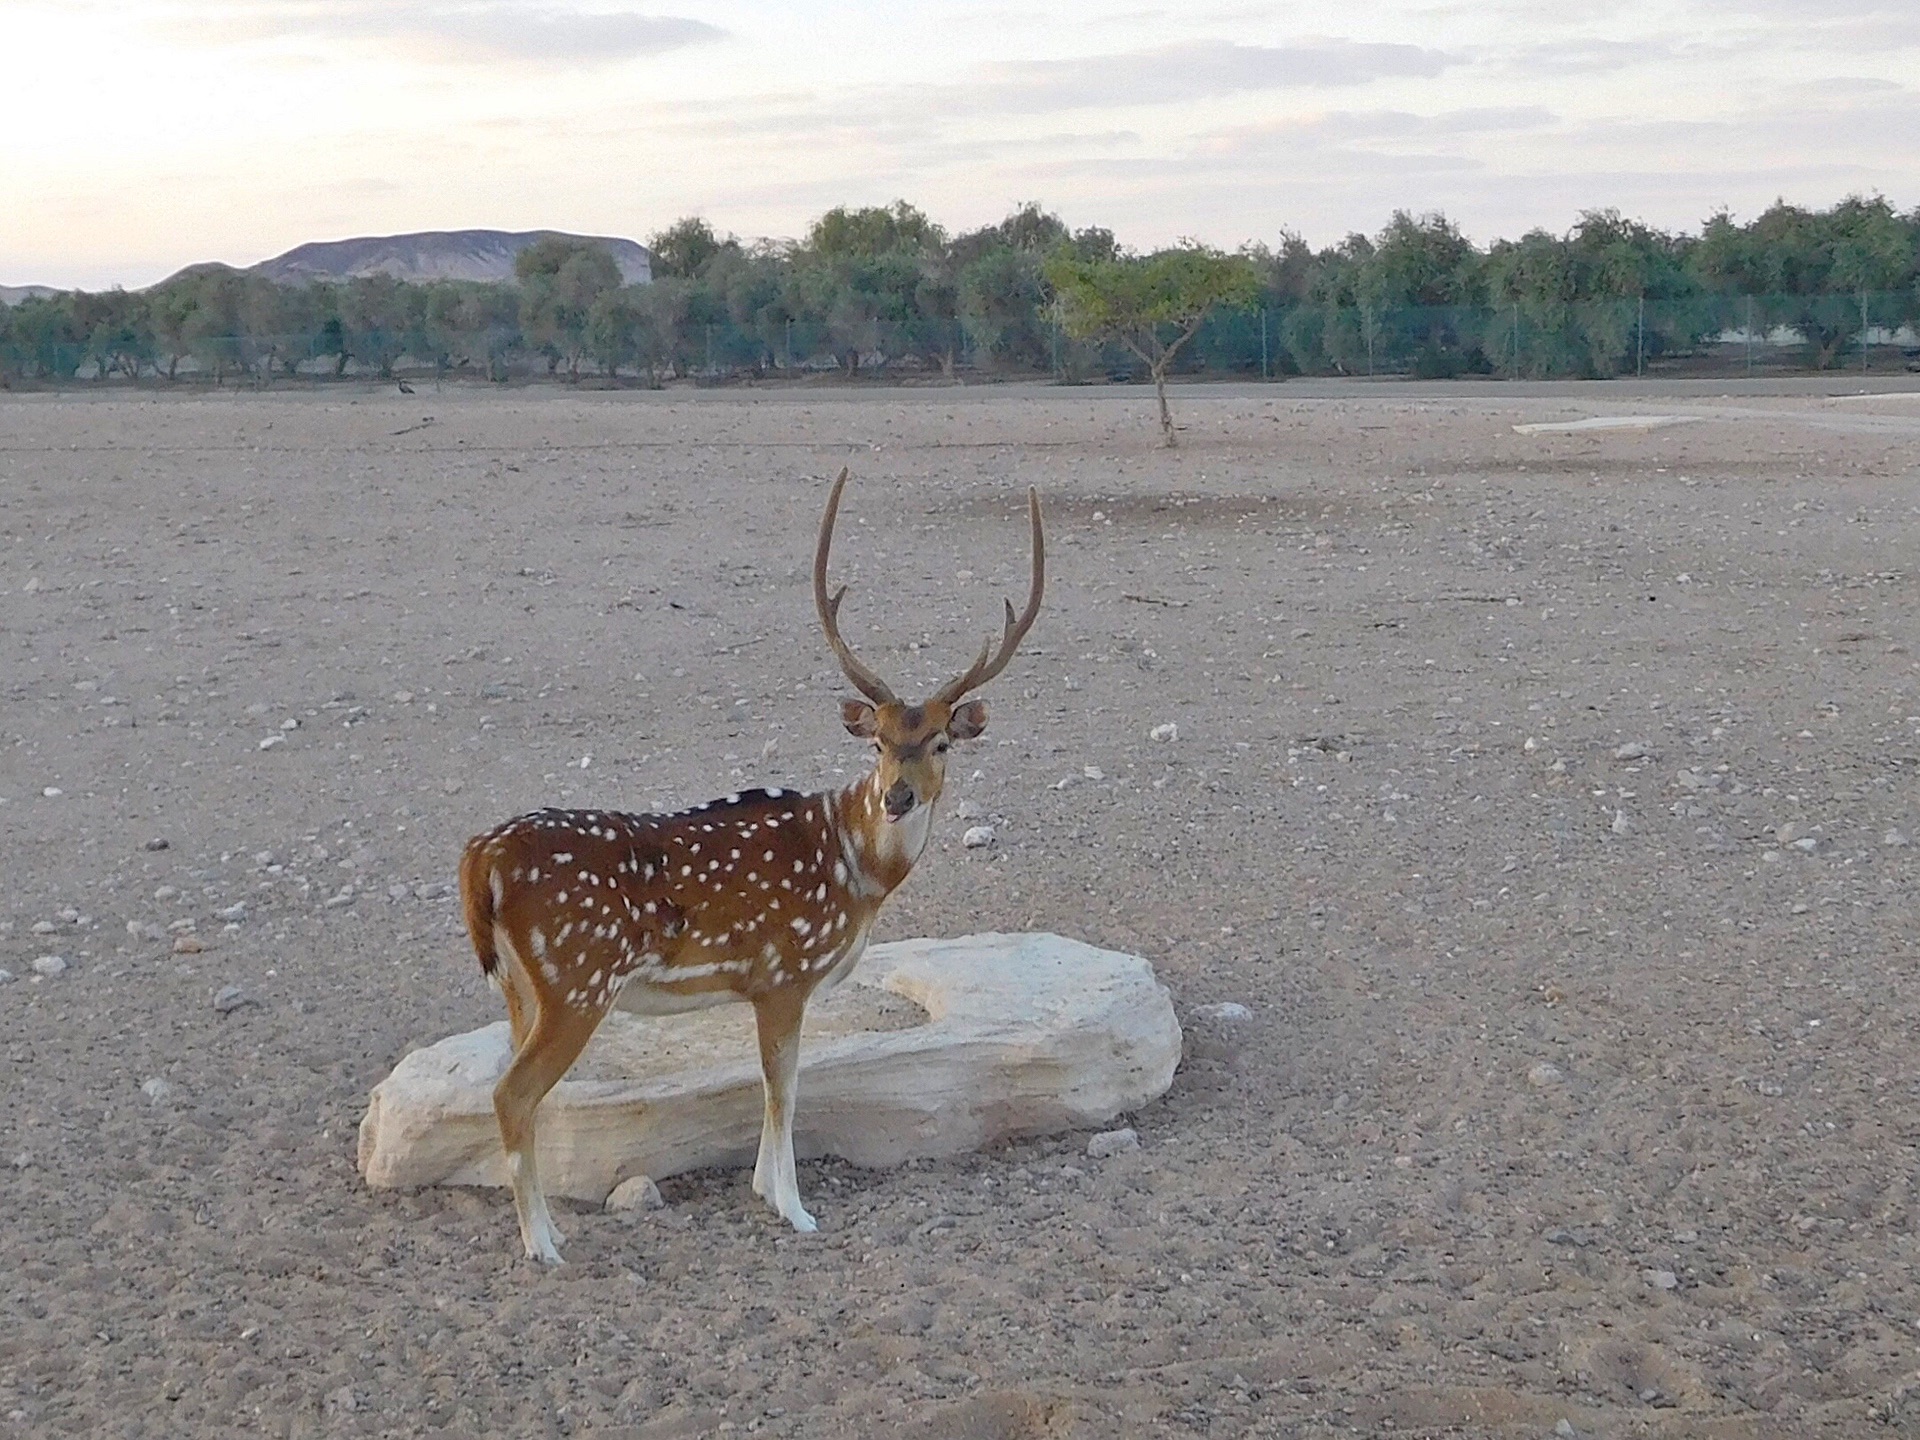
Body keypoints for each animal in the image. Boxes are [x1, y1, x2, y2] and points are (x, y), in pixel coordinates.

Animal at [458, 470, 1044, 1259]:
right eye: (878, 742)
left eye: (941, 743)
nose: (898, 796)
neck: (855, 871)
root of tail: (481, 856)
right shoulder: (783, 973)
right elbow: (783, 1087)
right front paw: (793, 1207)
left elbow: (778, 1085)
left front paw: (769, 1190)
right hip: (574, 982)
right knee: (512, 1093)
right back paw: (542, 1246)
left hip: (521, 988)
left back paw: (547, 1230)